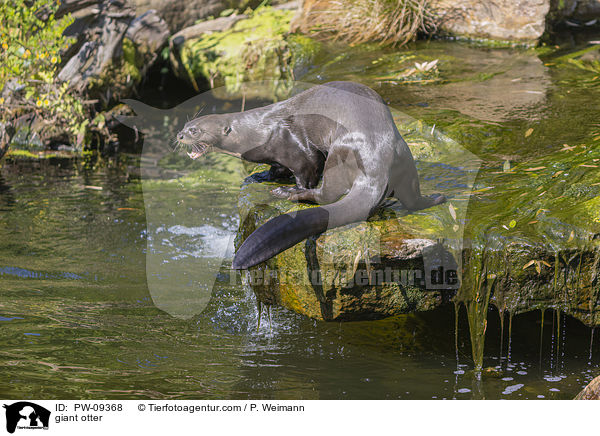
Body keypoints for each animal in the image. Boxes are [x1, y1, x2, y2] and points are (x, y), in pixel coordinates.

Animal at [176, 80, 442, 268]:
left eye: (195, 130)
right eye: (186, 125)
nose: (179, 135)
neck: (257, 131)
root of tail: (375, 167)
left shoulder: (294, 144)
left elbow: (307, 167)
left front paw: (291, 187)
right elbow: (279, 167)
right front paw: (264, 175)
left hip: (338, 154)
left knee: (326, 195)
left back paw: (289, 194)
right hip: (404, 155)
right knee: (412, 197)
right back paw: (435, 199)